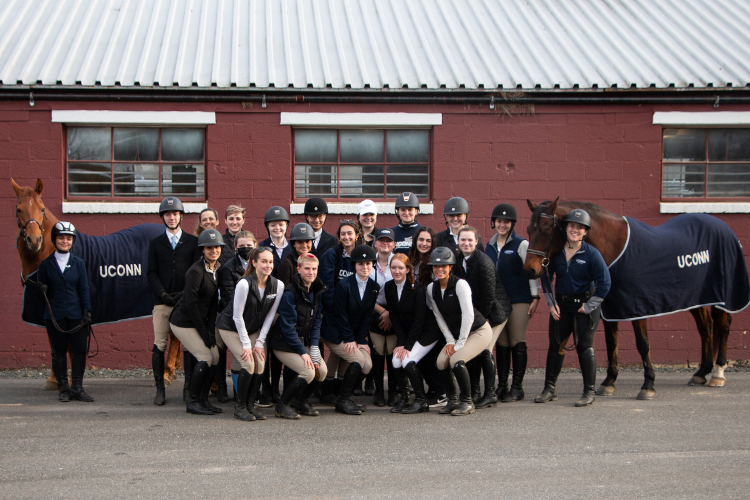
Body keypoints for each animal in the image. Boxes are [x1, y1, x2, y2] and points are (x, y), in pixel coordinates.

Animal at [11, 178, 184, 388]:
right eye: (18, 209)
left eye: (42, 209)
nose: (34, 240)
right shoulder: (49, 310)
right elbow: (55, 343)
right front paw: (54, 379)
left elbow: (70, 346)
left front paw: (70, 382)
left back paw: (167, 372)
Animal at [524, 198, 736, 398]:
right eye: (528, 229)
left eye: (545, 229)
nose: (529, 270)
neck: (615, 248)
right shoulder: (610, 307)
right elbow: (611, 342)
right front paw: (609, 382)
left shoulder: (638, 307)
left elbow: (643, 343)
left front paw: (648, 385)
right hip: (697, 296)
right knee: (706, 326)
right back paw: (702, 372)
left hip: (721, 294)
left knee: (723, 326)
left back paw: (718, 373)